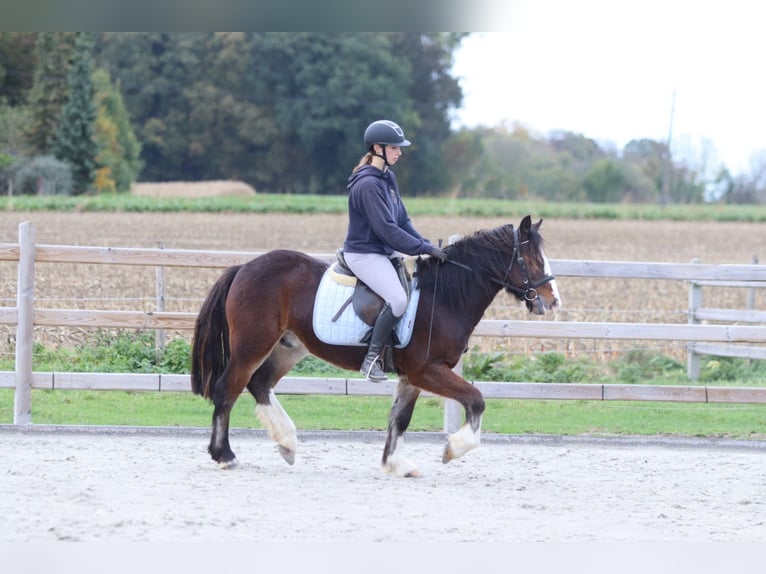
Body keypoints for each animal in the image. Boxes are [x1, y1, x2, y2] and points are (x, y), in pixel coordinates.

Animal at [190, 215, 561, 477]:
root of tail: (244, 268)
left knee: (260, 384)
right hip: (253, 345)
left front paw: (395, 464)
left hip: (288, 347)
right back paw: (226, 456)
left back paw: (287, 443)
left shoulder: (413, 377)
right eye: (531, 260)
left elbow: (400, 419)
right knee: (228, 389)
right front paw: (452, 450)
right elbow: (476, 400)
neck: (443, 297)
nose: (553, 301)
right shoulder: (428, 371)